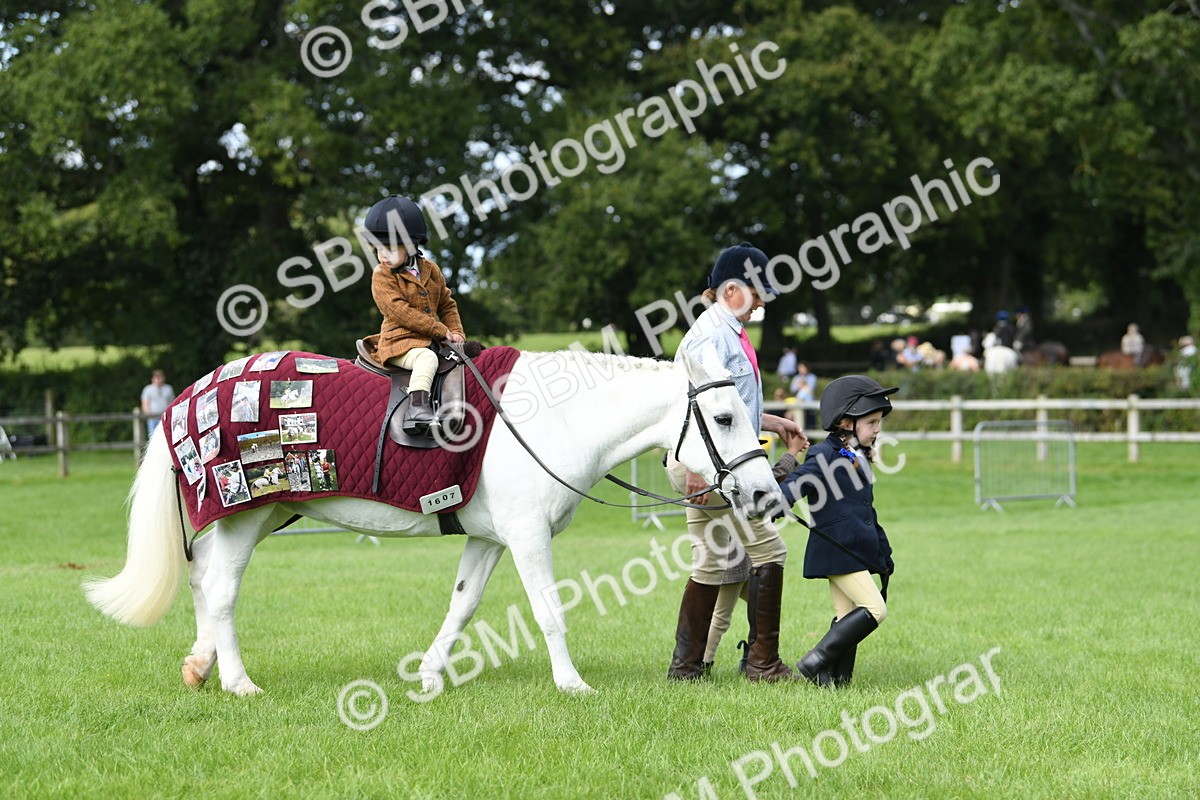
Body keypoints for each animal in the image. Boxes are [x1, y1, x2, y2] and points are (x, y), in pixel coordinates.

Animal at [84, 351, 782, 697]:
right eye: (724, 418)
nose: (764, 494)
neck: (553, 417)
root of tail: (191, 394)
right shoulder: (526, 538)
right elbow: (549, 609)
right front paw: (571, 683)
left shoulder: (488, 539)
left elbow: (463, 605)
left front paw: (427, 674)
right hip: (245, 514)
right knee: (222, 590)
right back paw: (236, 681)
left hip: (262, 515)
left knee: (204, 580)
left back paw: (200, 667)